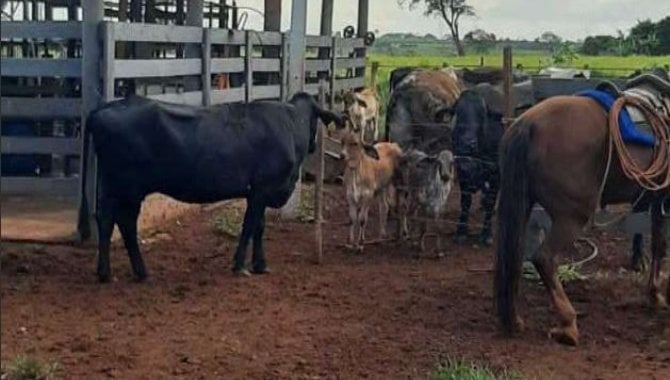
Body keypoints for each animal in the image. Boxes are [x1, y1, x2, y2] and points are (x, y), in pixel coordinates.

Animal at [79, 93, 346, 282]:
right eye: (315, 120)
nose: (313, 145)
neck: (290, 124)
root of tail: (106, 107)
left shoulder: (258, 192)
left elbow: (259, 227)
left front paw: (260, 265)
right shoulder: (262, 190)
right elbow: (249, 226)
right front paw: (240, 266)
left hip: (123, 189)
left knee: (116, 222)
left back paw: (131, 271)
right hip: (124, 188)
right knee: (114, 221)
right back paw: (111, 273)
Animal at [496, 90, 668, 346]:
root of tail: (528, 123)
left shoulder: (659, 202)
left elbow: (658, 245)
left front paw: (654, 295)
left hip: (523, 205)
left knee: (515, 255)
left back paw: (514, 319)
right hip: (572, 217)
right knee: (544, 258)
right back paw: (568, 325)